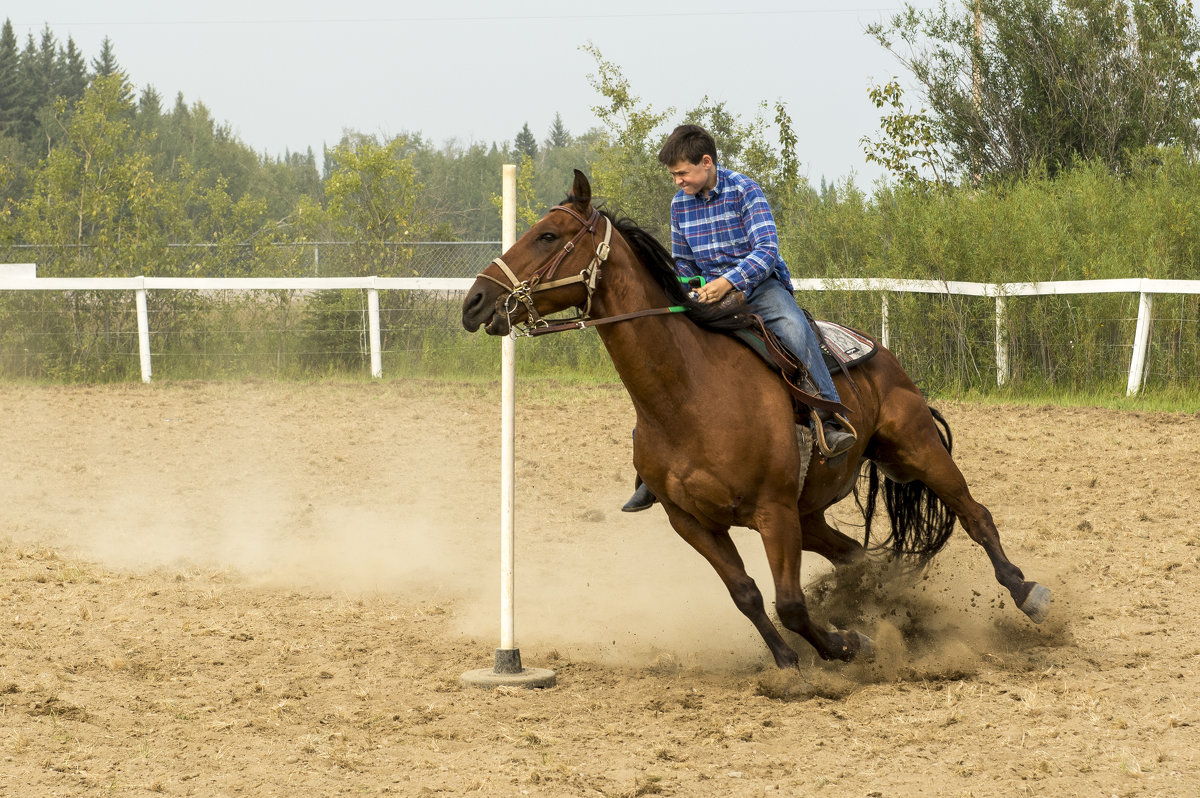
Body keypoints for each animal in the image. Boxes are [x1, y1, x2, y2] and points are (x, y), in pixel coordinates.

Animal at [458, 171, 1051, 667]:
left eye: (548, 236)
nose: (475, 302)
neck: (689, 395)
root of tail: (877, 350)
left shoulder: (773, 511)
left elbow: (788, 603)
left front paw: (843, 645)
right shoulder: (691, 521)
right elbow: (746, 595)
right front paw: (792, 660)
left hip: (915, 448)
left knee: (976, 515)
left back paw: (1028, 594)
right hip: (811, 511)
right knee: (855, 556)